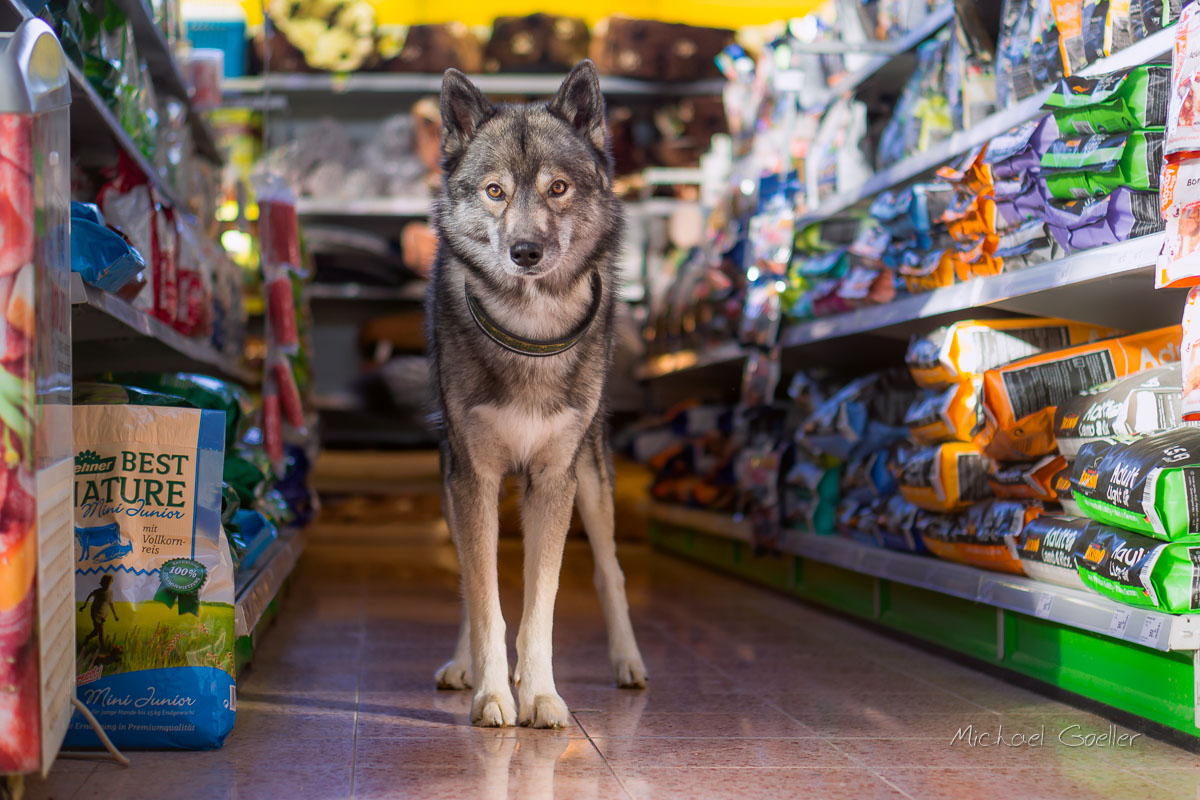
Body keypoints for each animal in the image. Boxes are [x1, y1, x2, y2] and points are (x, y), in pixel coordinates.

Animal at [424, 59, 648, 729]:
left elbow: (540, 607)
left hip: (592, 481)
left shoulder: (555, 480)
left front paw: (542, 695)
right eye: (495, 191)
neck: (530, 328)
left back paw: (628, 663)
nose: (526, 252)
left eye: (558, 189)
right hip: (454, 487)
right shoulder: (473, 478)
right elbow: (486, 599)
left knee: (610, 573)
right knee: (472, 584)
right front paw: (494, 695)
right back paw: (466, 665)